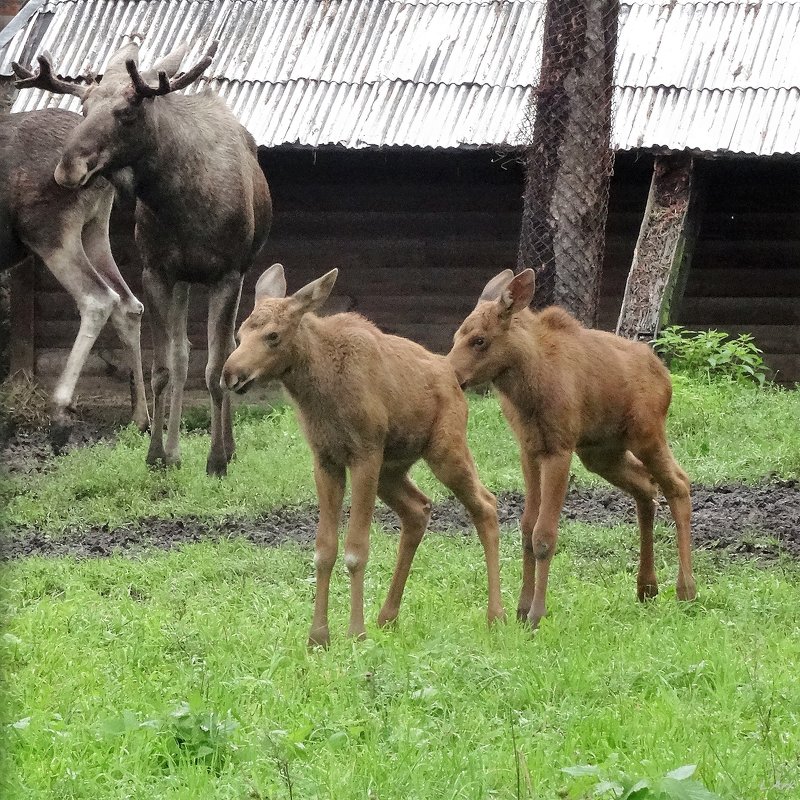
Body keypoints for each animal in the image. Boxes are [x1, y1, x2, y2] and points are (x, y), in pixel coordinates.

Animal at [14, 40, 272, 476]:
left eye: (127, 111)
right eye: (84, 107)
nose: (67, 168)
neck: (180, 205)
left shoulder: (226, 274)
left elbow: (216, 368)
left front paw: (216, 461)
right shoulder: (157, 272)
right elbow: (162, 367)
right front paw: (157, 455)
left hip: (238, 270)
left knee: (224, 353)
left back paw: (228, 447)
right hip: (184, 279)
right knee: (182, 353)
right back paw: (176, 449)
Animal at [222, 266, 504, 648]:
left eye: (273, 335)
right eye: (239, 334)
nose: (230, 374)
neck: (318, 394)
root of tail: (453, 375)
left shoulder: (364, 453)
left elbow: (356, 550)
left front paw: (355, 632)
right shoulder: (325, 460)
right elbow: (324, 550)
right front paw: (318, 637)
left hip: (445, 450)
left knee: (486, 504)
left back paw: (497, 615)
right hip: (392, 470)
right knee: (419, 509)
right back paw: (387, 616)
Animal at [446, 268, 696, 632]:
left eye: (479, 340)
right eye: (456, 336)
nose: (449, 376)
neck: (525, 391)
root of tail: (666, 378)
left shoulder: (559, 449)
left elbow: (544, 534)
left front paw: (537, 614)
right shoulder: (529, 450)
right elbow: (526, 527)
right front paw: (521, 609)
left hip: (646, 435)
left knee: (678, 484)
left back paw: (686, 588)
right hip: (601, 453)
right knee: (646, 487)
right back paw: (647, 587)